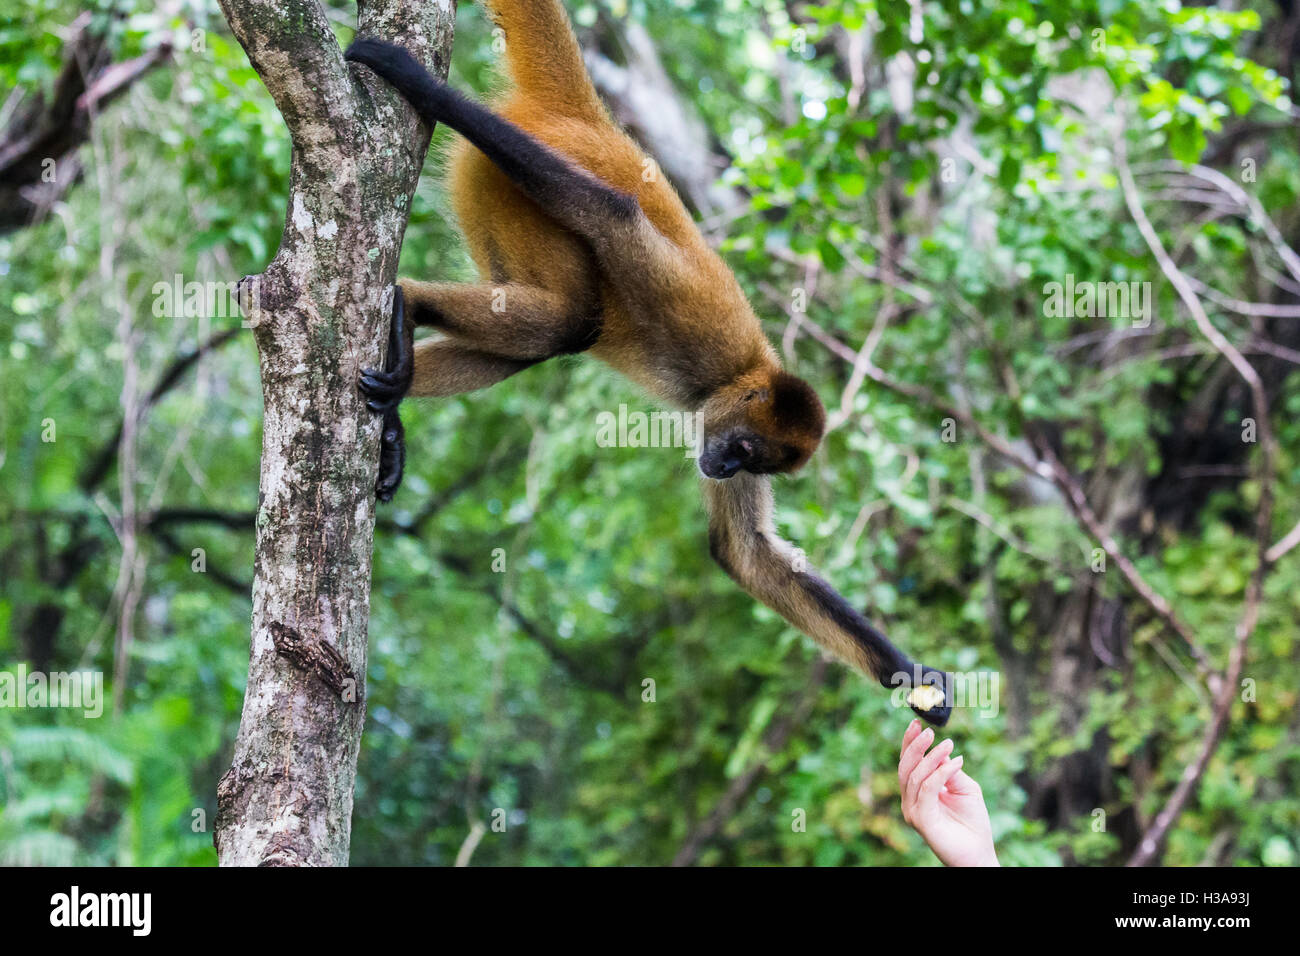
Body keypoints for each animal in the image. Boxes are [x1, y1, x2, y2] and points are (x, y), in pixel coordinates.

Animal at [345, 0, 956, 723]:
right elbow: (613, 216)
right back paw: (408, 302)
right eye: (744, 449)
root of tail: (588, 121)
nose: (724, 466)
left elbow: (746, 555)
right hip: (502, 182)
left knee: (543, 337)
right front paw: (416, 83)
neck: (741, 373)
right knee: (569, 319)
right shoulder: (695, 325)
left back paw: (396, 405)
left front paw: (917, 679)